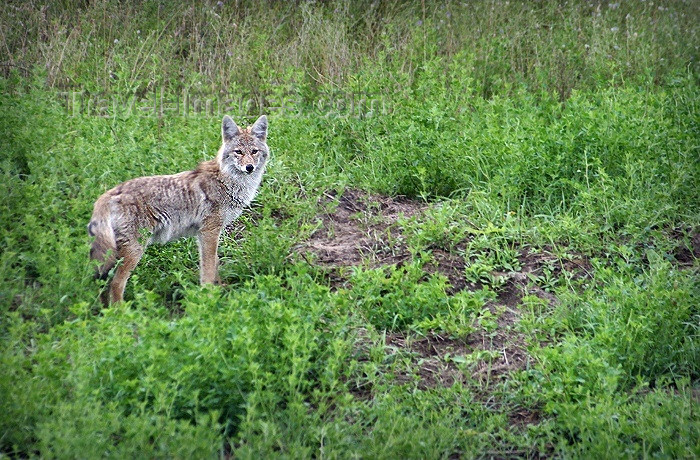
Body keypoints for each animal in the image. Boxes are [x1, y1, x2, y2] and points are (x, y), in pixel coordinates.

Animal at [89, 114, 270, 302]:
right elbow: (208, 269)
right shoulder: (210, 231)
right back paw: (122, 309)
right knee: (116, 285)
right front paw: (208, 297)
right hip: (134, 251)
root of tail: (108, 194)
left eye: (254, 151)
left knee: (103, 285)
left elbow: (215, 263)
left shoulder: (205, 233)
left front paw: (219, 290)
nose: (249, 167)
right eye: (238, 152)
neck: (228, 182)